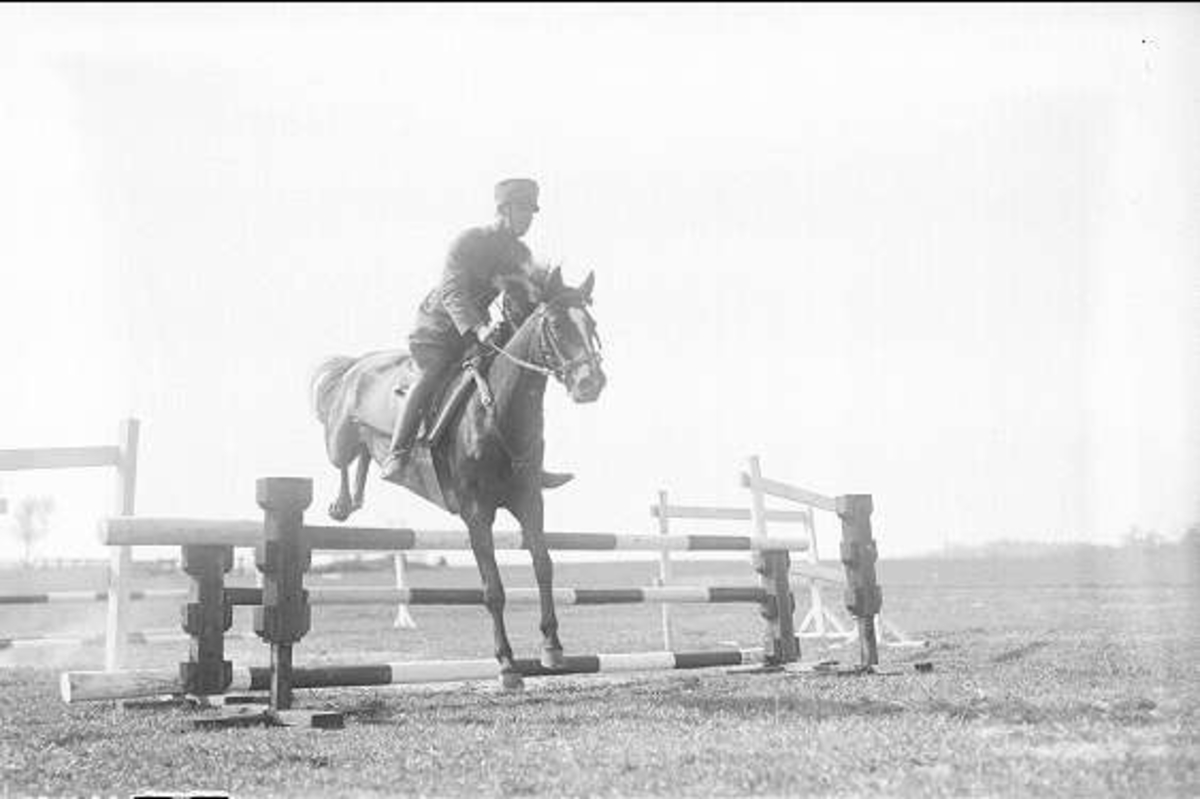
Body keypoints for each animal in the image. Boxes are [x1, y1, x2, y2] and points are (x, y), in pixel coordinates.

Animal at [309, 268, 605, 689]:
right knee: (343, 457)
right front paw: (507, 664)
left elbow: (543, 565)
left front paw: (552, 647)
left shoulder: (529, 501)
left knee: (366, 456)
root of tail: (358, 364)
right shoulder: (476, 512)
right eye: (556, 325)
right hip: (340, 435)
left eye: (591, 325)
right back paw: (342, 503)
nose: (590, 383)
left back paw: (363, 490)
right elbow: (493, 588)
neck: (497, 414)